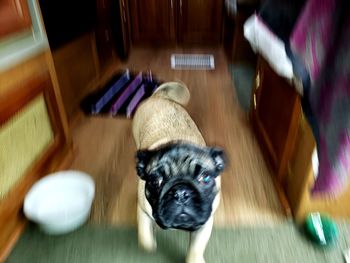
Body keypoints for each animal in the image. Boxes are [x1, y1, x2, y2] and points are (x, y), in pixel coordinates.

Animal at [133, 81, 226, 262]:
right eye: (155, 181)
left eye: (205, 178)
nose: (181, 193)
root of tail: (159, 96)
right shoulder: (143, 211)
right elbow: (146, 239)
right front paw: (151, 239)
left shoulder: (204, 224)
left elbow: (196, 248)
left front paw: (194, 259)